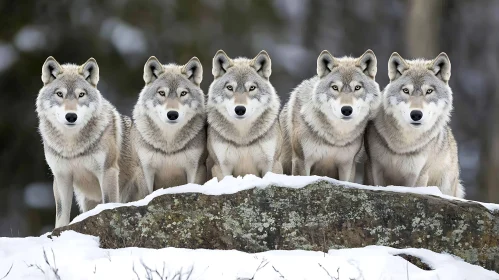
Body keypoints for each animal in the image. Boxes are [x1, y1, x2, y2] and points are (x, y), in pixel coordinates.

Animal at [36, 56, 147, 228]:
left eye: (81, 94)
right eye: (60, 94)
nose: (71, 116)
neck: (72, 147)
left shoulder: (107, 172)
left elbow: (108, 205)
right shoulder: (61, 177)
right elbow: (61, 216)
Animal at [207, 50, 284, 179]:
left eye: (252, 88)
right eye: (230, 87)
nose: (240, 109)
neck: (242, 138)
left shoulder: (271, 164)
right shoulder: (221, 167)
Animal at [280, 50, 380, 182]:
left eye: (357, 87)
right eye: (335, 87)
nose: (346, 110)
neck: (336, 138)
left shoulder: (348, 165)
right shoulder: (301, 161)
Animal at [366, 51, 466, 198]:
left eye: (429, 91)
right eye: (406, 91)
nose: (416, 114)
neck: (403, 145)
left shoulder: (417, 175)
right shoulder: (374, 167)